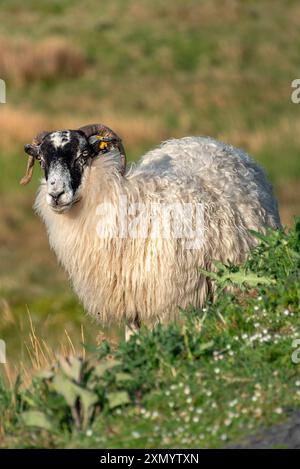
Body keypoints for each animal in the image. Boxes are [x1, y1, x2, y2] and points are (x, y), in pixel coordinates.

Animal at [21, 123, 282, 336]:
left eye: (83, 154)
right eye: (42, 160)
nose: (56, 195)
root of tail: (213, 142)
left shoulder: (172, 300)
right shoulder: (129, 300)